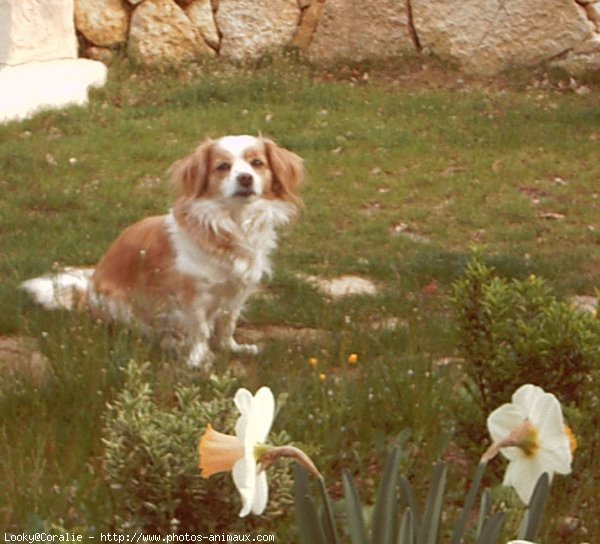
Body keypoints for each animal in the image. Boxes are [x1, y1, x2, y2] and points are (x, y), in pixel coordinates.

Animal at [22, 134, 304, 368]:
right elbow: (200, 329)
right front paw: (199, 358)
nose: (245, 177)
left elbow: (227, 324)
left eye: (257, 163)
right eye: (223, 167)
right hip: (119, 305)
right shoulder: (192, 295)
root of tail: (88, 294)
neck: (231, 223)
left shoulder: (237, 290)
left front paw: (232, 348)